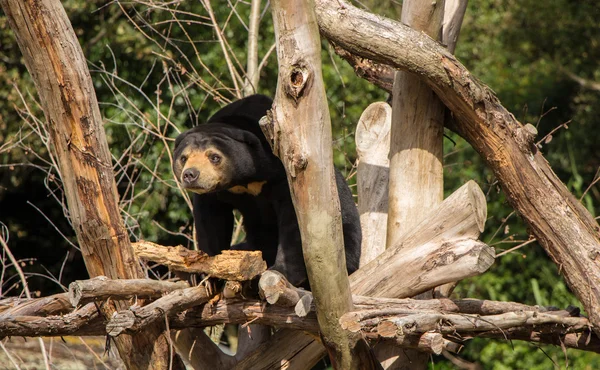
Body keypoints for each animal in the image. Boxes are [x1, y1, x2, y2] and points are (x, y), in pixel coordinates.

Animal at [173, 94, 360, 286]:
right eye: (183, 158)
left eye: (214, 157)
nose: (190, 174)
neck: (243, 180)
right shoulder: (215, 193)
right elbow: (211, 219)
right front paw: (204, 274)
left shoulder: (282, 175)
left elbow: (293, 222)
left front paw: (280, 271)